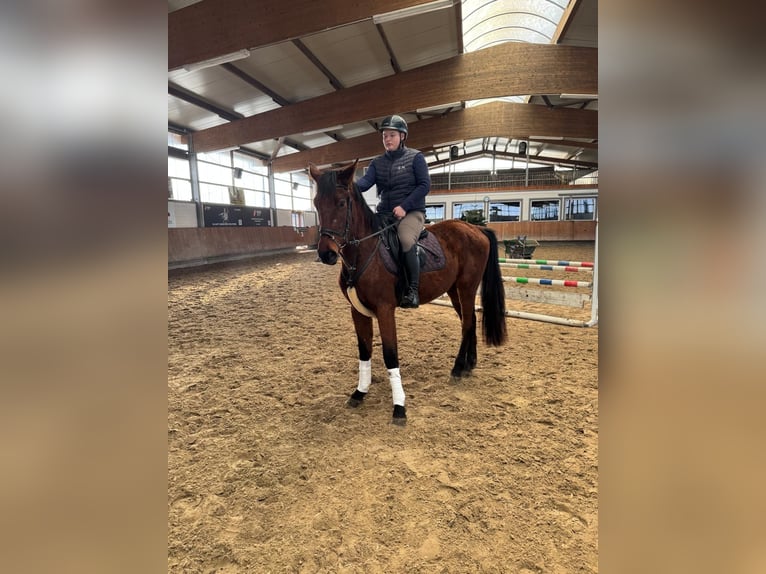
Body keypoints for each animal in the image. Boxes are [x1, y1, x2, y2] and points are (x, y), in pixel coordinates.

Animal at [310, 160, 507, 425]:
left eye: (341, 203)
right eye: (316, 203)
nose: (326, 253)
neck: (364, 253)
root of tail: (475, 228)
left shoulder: (385, 310)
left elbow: (390, 354)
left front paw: (399, 407)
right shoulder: (357, 311)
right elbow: (364, 351)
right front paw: (360, 392)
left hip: (466, 288)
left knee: (467, 323)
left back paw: (457, 368)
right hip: (454, 290)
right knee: (471, 321)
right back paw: (469, 365)